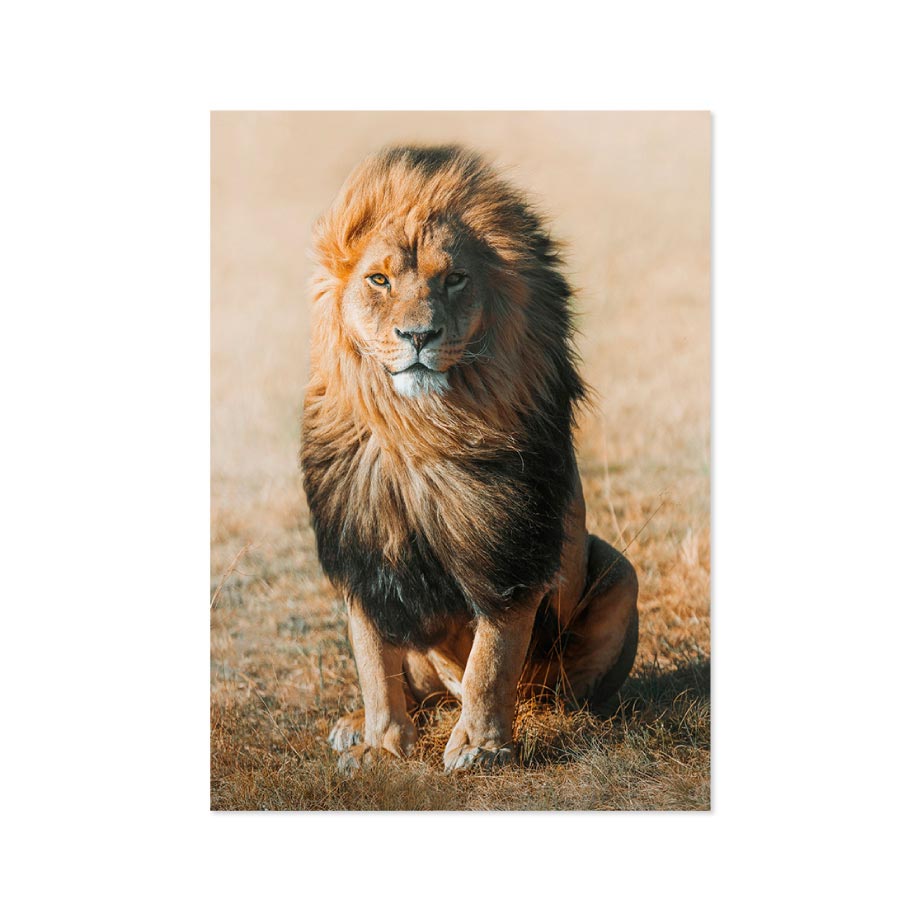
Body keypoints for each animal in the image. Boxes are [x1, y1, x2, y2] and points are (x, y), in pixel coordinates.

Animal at [300, 145, 639, 772]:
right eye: (378, 279)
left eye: (454, 279)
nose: (418, 335)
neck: (421, 429)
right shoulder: (362, 544)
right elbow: (373, 661)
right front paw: (381, 744)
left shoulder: (511, 548)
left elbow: (493, 658)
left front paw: (479, 748)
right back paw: (353, 726)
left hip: (619, 570)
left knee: (544, 687)